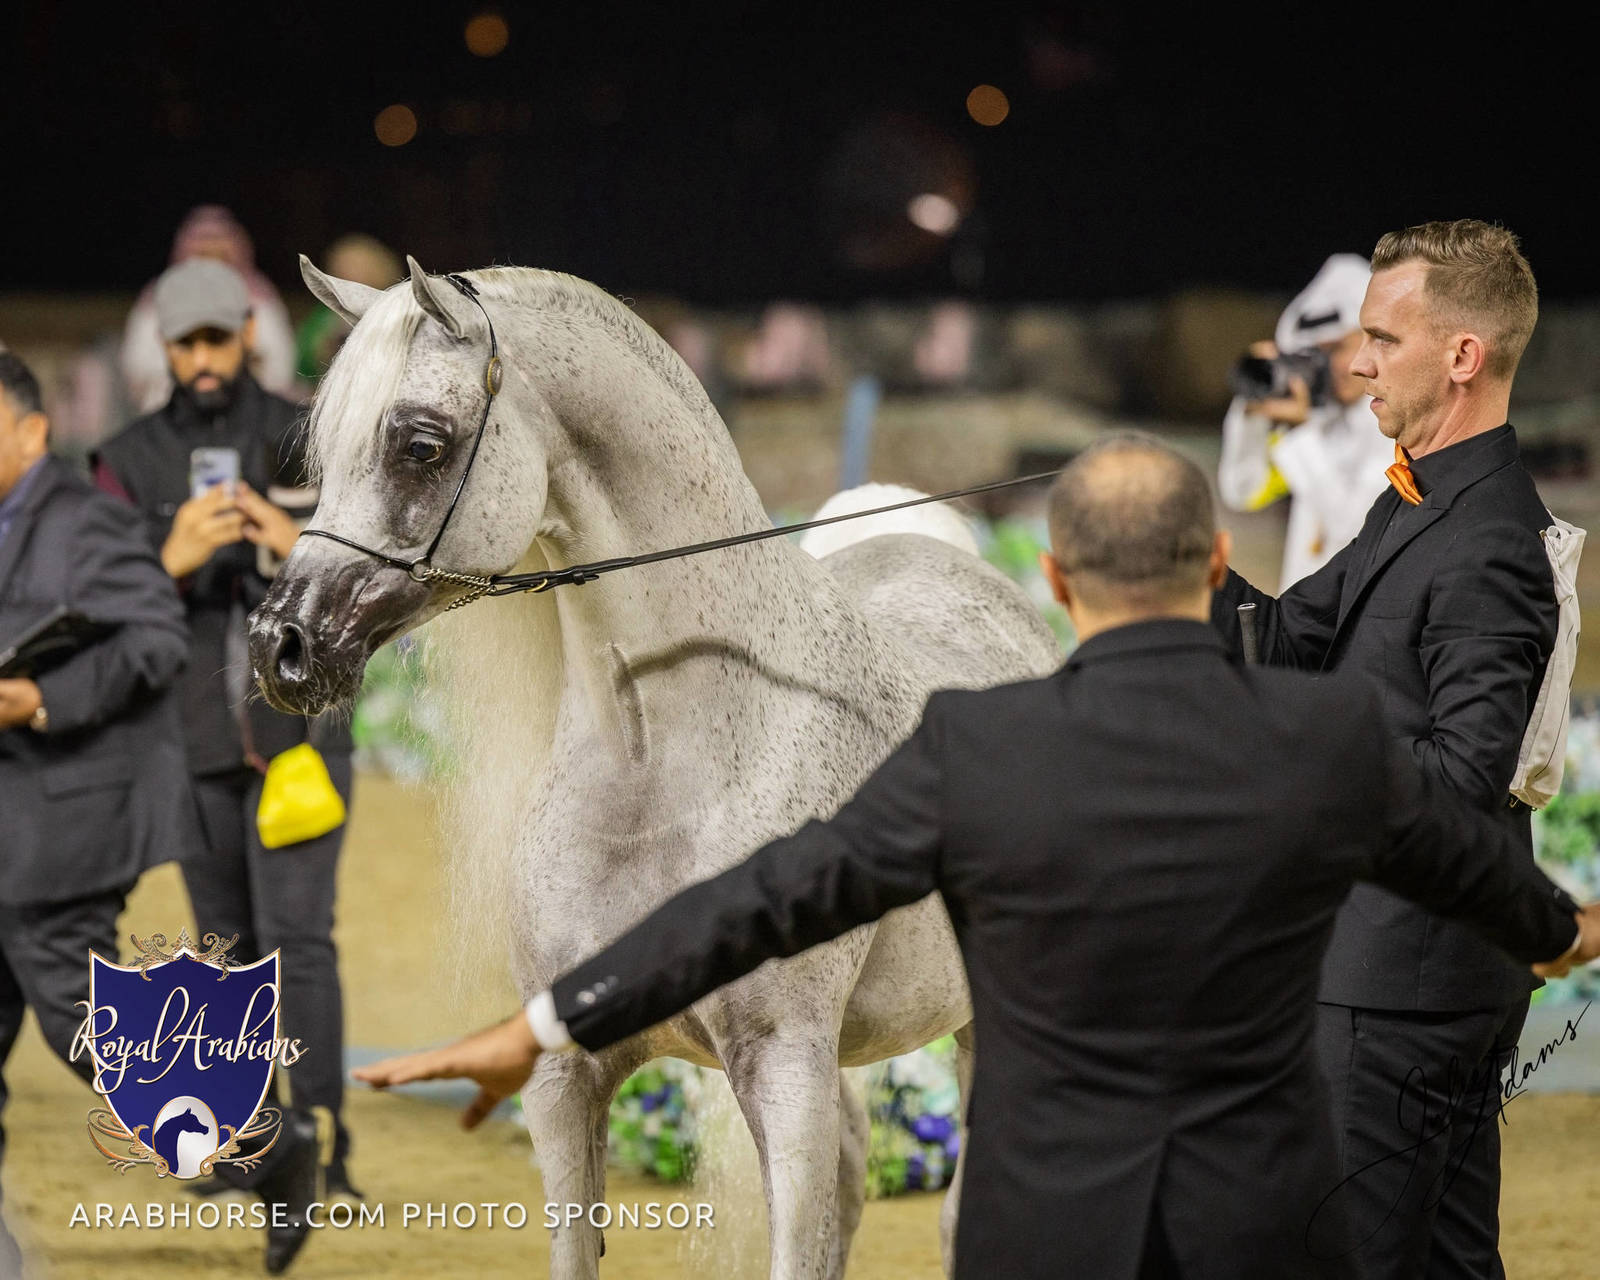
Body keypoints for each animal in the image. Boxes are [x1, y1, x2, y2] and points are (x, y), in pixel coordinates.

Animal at [249, 256, 1061, 1279]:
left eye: (421, 445)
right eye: (321, 457)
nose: (281, 646)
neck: (665, 782)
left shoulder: (784, 1069)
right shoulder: (566, 1078)